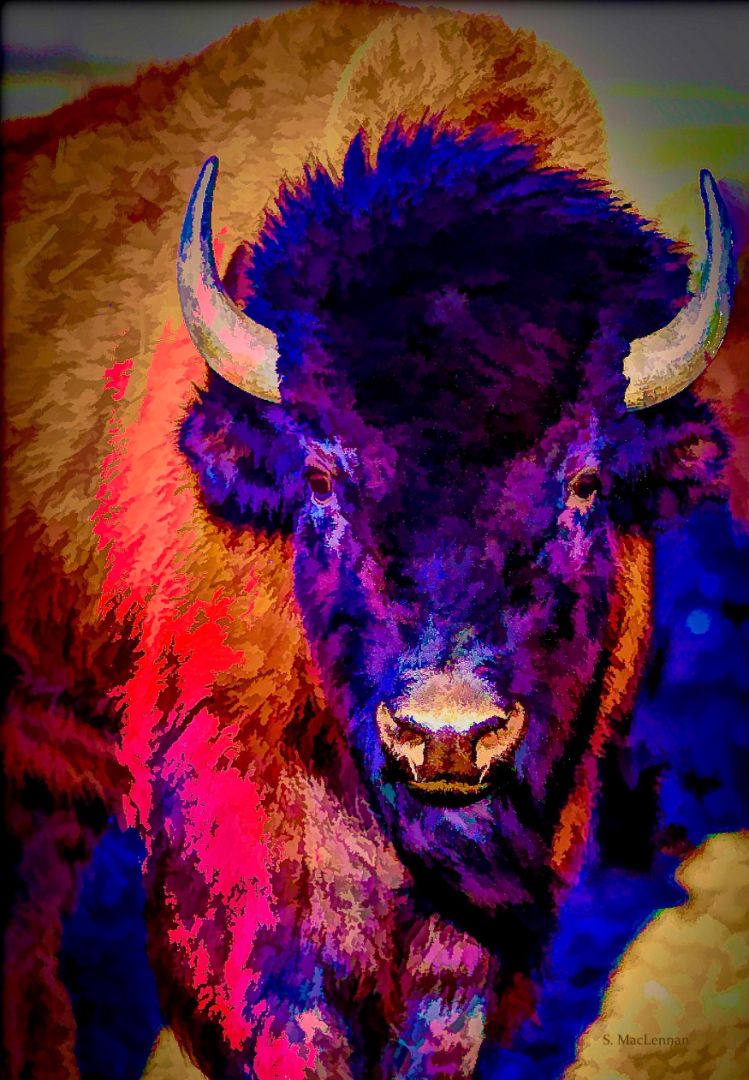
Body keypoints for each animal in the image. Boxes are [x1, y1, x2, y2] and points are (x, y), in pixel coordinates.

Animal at [1, 3, 741, 1078]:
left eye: (584, 482)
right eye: (320, 476)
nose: (446, 733)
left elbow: (441, 1022)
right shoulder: (248, 844)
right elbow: (290, 1009)